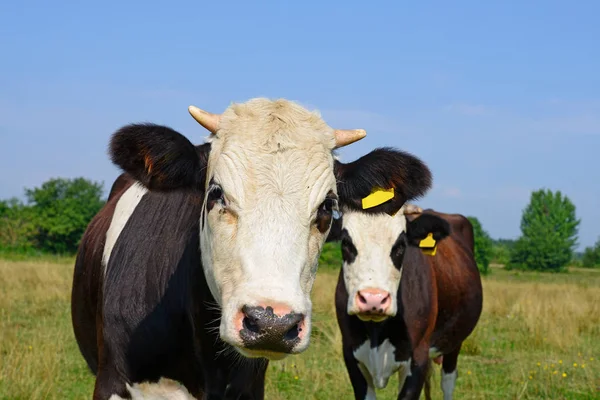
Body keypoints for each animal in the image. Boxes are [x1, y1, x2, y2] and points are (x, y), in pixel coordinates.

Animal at [328, 206, 482, 400]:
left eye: (401, 245)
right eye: (346, 243)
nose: (373, 299)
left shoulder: (418, 357)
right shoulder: (351, 354)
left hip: (454, 340)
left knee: (448, 381)